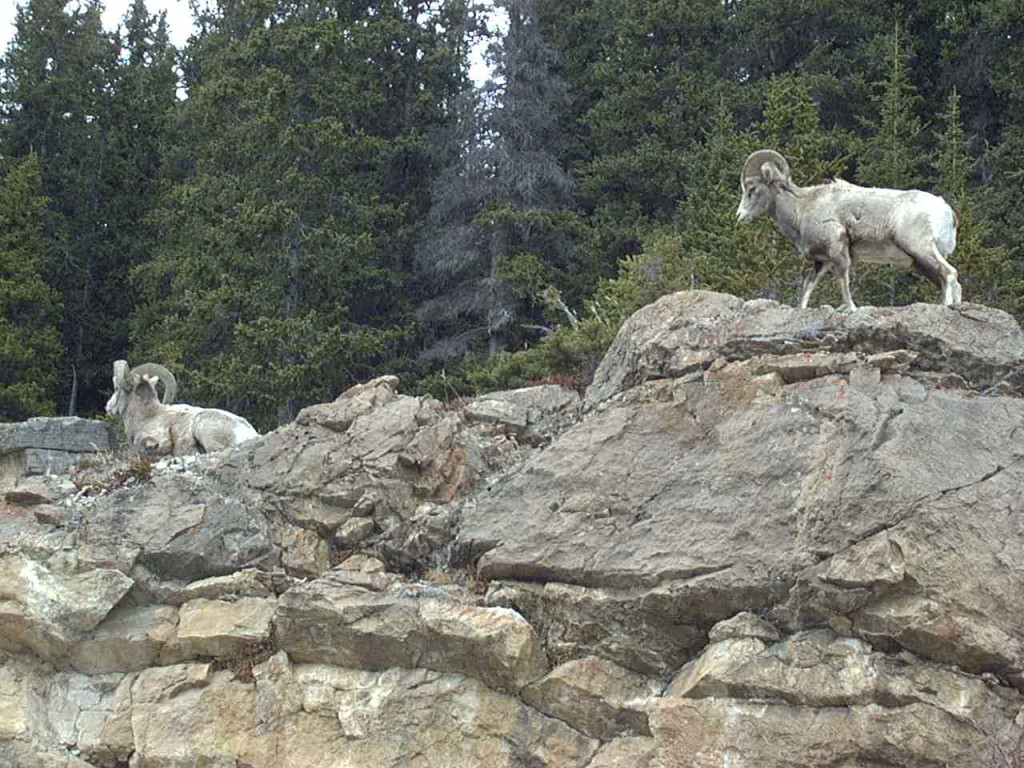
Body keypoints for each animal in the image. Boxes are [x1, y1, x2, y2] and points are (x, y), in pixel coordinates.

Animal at [735, 149, 962, 312]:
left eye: (752, 189)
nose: (739, 216)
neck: (802, 209)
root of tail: (946, 211)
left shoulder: (838, 253)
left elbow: (843, 281)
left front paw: (851, 308)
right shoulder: (822, 261)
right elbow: (808, 287)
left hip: (921, 249)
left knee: (950, 273)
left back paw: (947, 306)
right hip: (919, 261)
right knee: (948, 281)